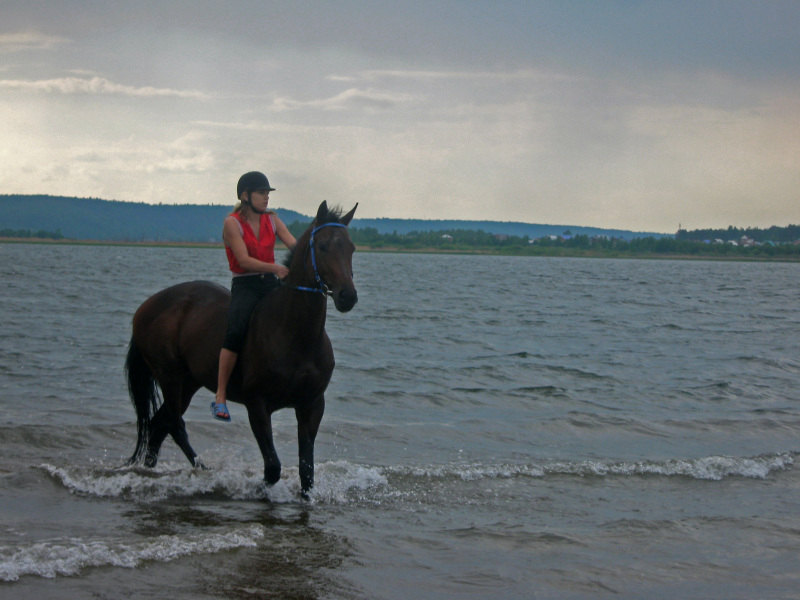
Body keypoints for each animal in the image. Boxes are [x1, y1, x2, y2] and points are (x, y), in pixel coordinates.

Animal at [124, 199, 356, 494]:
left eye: (351, 247)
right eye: (323, 246)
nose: (348, 296)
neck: (296, 334)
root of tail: (145, 308)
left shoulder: (312, 405)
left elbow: (307, 473)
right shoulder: (257, 405)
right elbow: (272, 467)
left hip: (188, 382)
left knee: (158, 426)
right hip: (170, 377)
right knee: (174, 425)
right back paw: (202, 470)